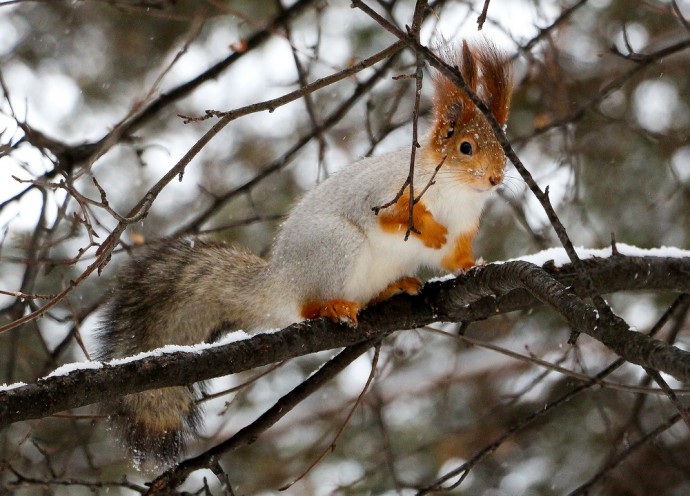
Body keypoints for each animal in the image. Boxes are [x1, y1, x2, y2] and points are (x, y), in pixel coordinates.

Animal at [97, 40, 510, 466]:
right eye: (465, 147)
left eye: (503, 145)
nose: (496, 178)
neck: (458, 192)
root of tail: (281, 282)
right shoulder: (386, 192)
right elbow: (392, 217)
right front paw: (428, 229)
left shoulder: (464, 228)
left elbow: (454, 257)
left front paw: (473, 265)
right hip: (336, 247)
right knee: (308, 306)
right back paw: (333, 306)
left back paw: (393, 289)